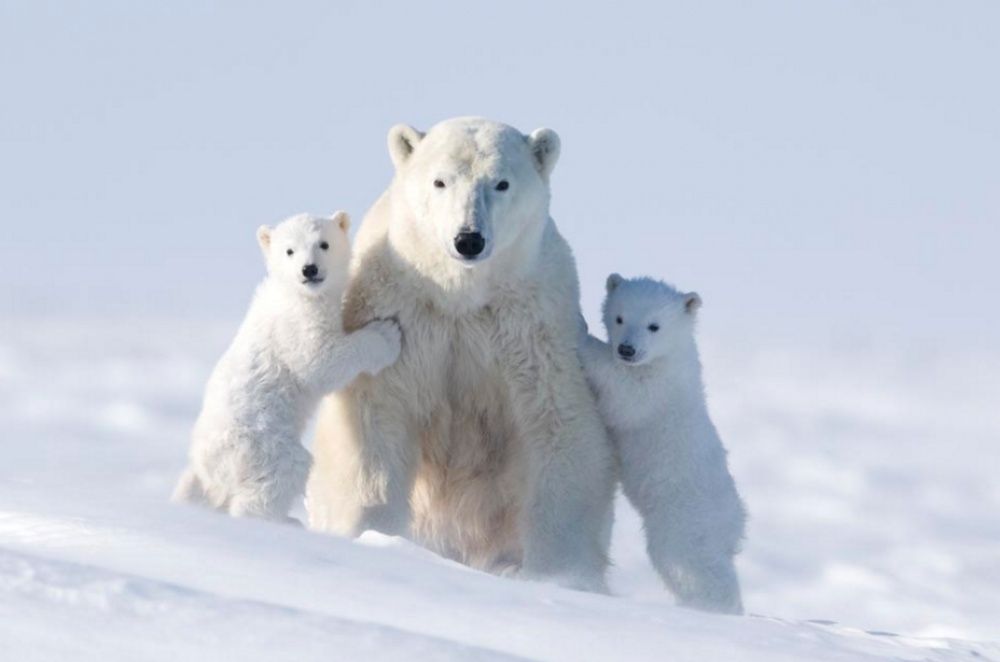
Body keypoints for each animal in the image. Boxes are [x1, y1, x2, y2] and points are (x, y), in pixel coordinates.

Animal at [306, 118, 616, 592]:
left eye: (502, 183)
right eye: (441, 181)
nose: (468, 239)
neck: (459, 296)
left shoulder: (530, 327)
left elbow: (559, 425)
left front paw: (561, 575)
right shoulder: (403, 316)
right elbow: (376, 418)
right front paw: (374, 534)